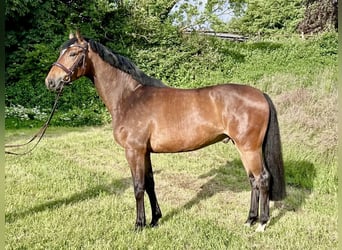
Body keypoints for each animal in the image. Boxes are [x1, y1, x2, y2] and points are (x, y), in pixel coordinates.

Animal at [45, 31, 286, 232]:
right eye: (60, 52)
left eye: (73, 53)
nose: (51, 82)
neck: (129, 97)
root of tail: (260, 94)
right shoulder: (145, 152)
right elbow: (150, 184)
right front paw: (154, 220)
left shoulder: (134, 151)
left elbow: (138, 187)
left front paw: (139, 225)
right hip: (243, 148)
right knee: (253, 181)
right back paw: (249, 220)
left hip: (249, 148)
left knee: (262, 179)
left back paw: (262, 223)